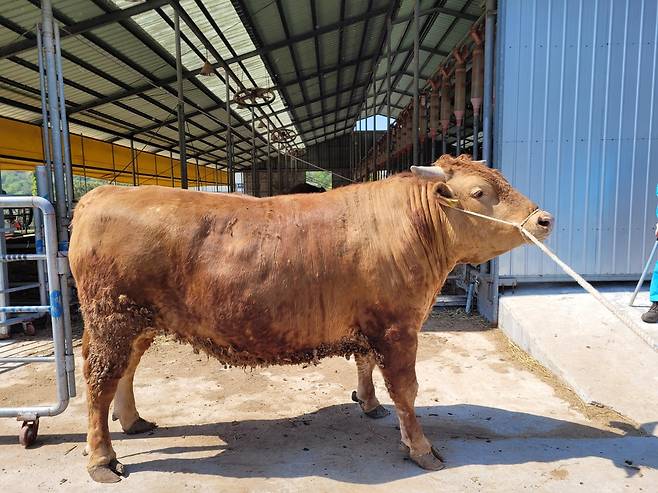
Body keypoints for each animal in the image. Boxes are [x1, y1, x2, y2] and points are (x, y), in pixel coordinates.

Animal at [69, 154, 552, 480]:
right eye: (479, 193)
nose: (544, 219)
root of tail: (103, 192)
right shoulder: (398, 327)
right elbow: (407, 390)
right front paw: (420, 448)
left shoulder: (369, 325)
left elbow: (365, 364)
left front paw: (369, 404)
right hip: (112, 317)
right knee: (99, 383)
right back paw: (102, 460)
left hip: (137, 322)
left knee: (126, 372)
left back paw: (134, 422)